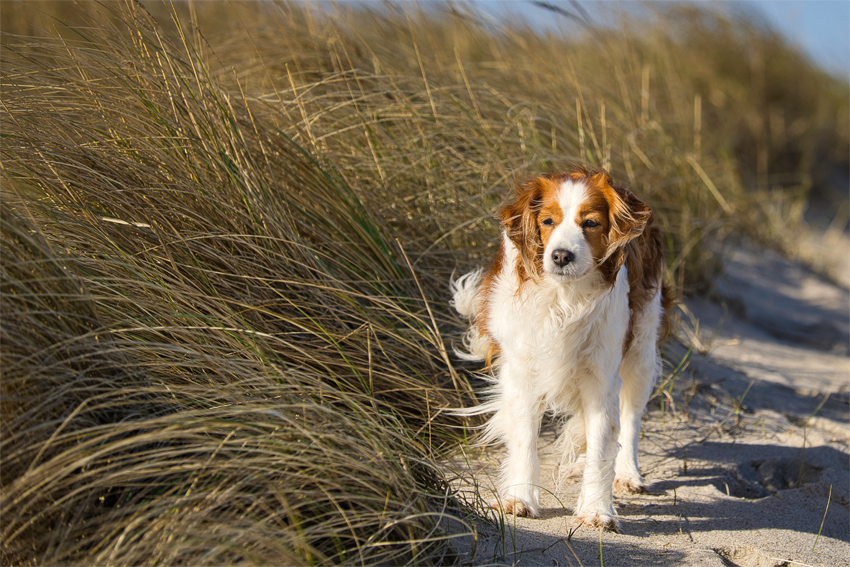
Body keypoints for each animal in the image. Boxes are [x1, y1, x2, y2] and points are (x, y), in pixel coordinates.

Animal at [450, 165, 668, 532]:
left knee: (630, 418)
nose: (561, 256)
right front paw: (520, 498)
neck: (565, 298)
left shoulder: (601, 376)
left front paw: (596, 509)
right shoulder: (522, 371)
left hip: (641, 350)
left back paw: (627, 472)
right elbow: (524, 440)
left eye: (591, 223)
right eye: (548, 221)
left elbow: (602, 441)